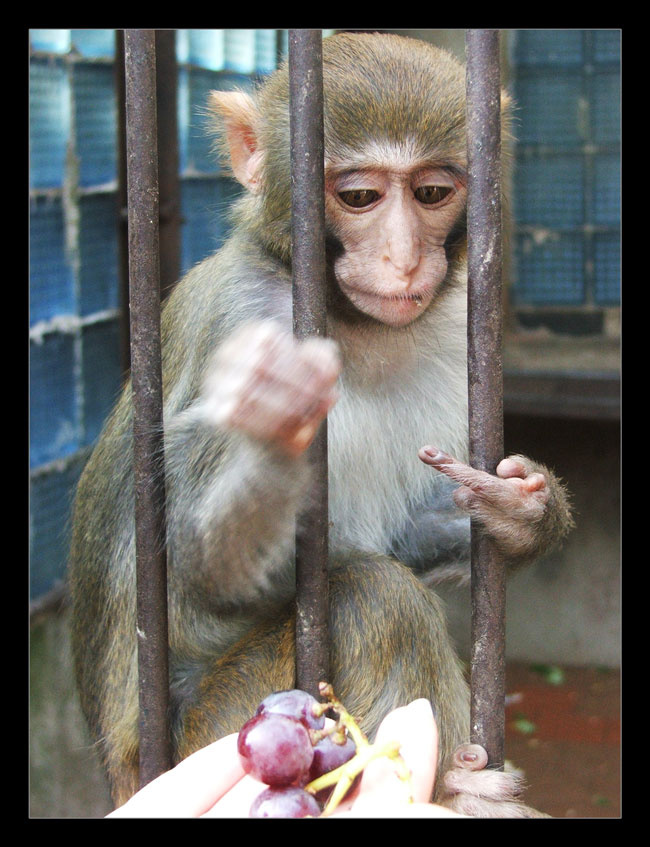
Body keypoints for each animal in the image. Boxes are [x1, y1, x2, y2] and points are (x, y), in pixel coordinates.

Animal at [68, 32, 573, 816]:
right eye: (359, 197)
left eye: (432, 192)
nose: (402, 259)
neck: (350, 324)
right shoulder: (242, 322)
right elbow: (201, 571)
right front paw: (276, 434)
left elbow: (406, 533)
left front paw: (525, 510)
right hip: (214, 725)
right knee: (374, 599)